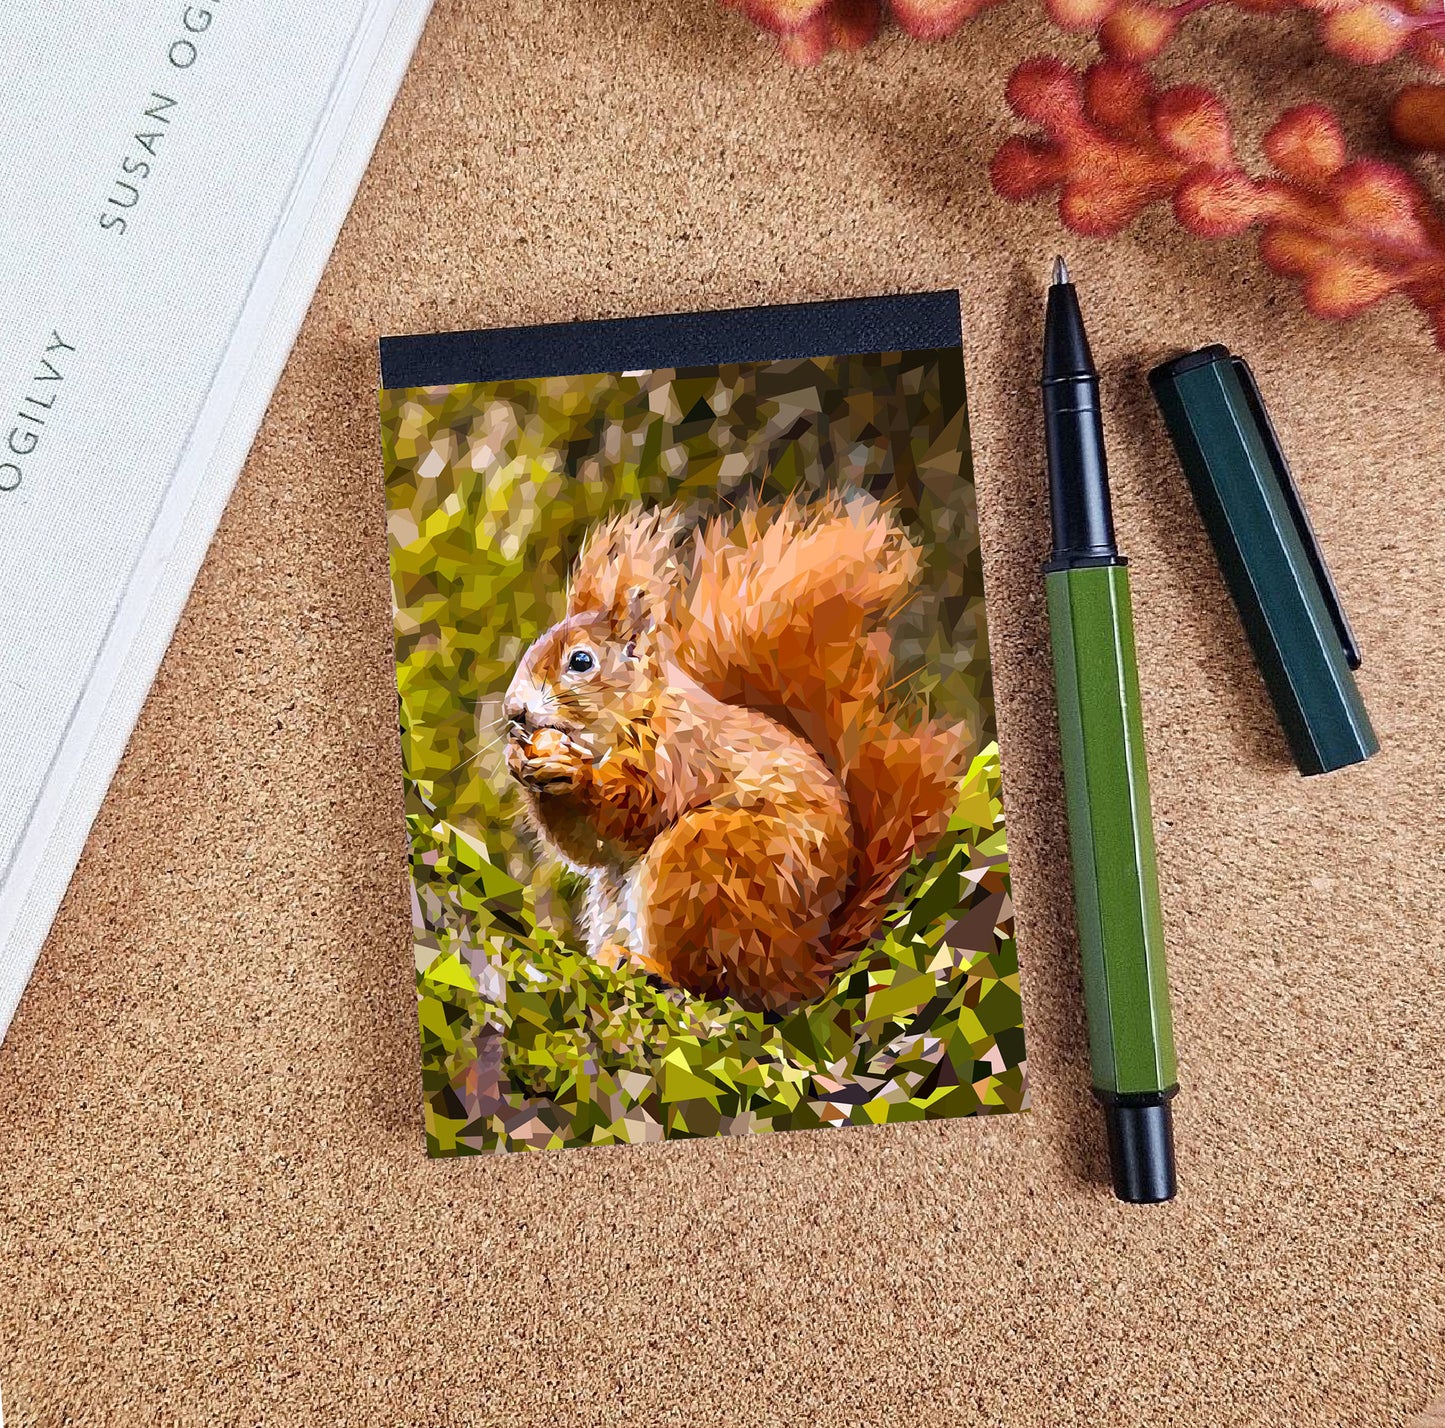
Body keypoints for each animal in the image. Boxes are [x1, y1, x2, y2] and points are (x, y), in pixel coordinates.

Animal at [501, 492, 968, 1012]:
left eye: (580, 661)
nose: (514, 711)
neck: (632, 714)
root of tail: (799, 971)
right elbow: (588, 846)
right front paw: (520, 763)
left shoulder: (677, 755)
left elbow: (629, 812)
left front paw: (573, 774)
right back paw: (611, 957)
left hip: (702, 866)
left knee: (706, 980)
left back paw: (648, 967)